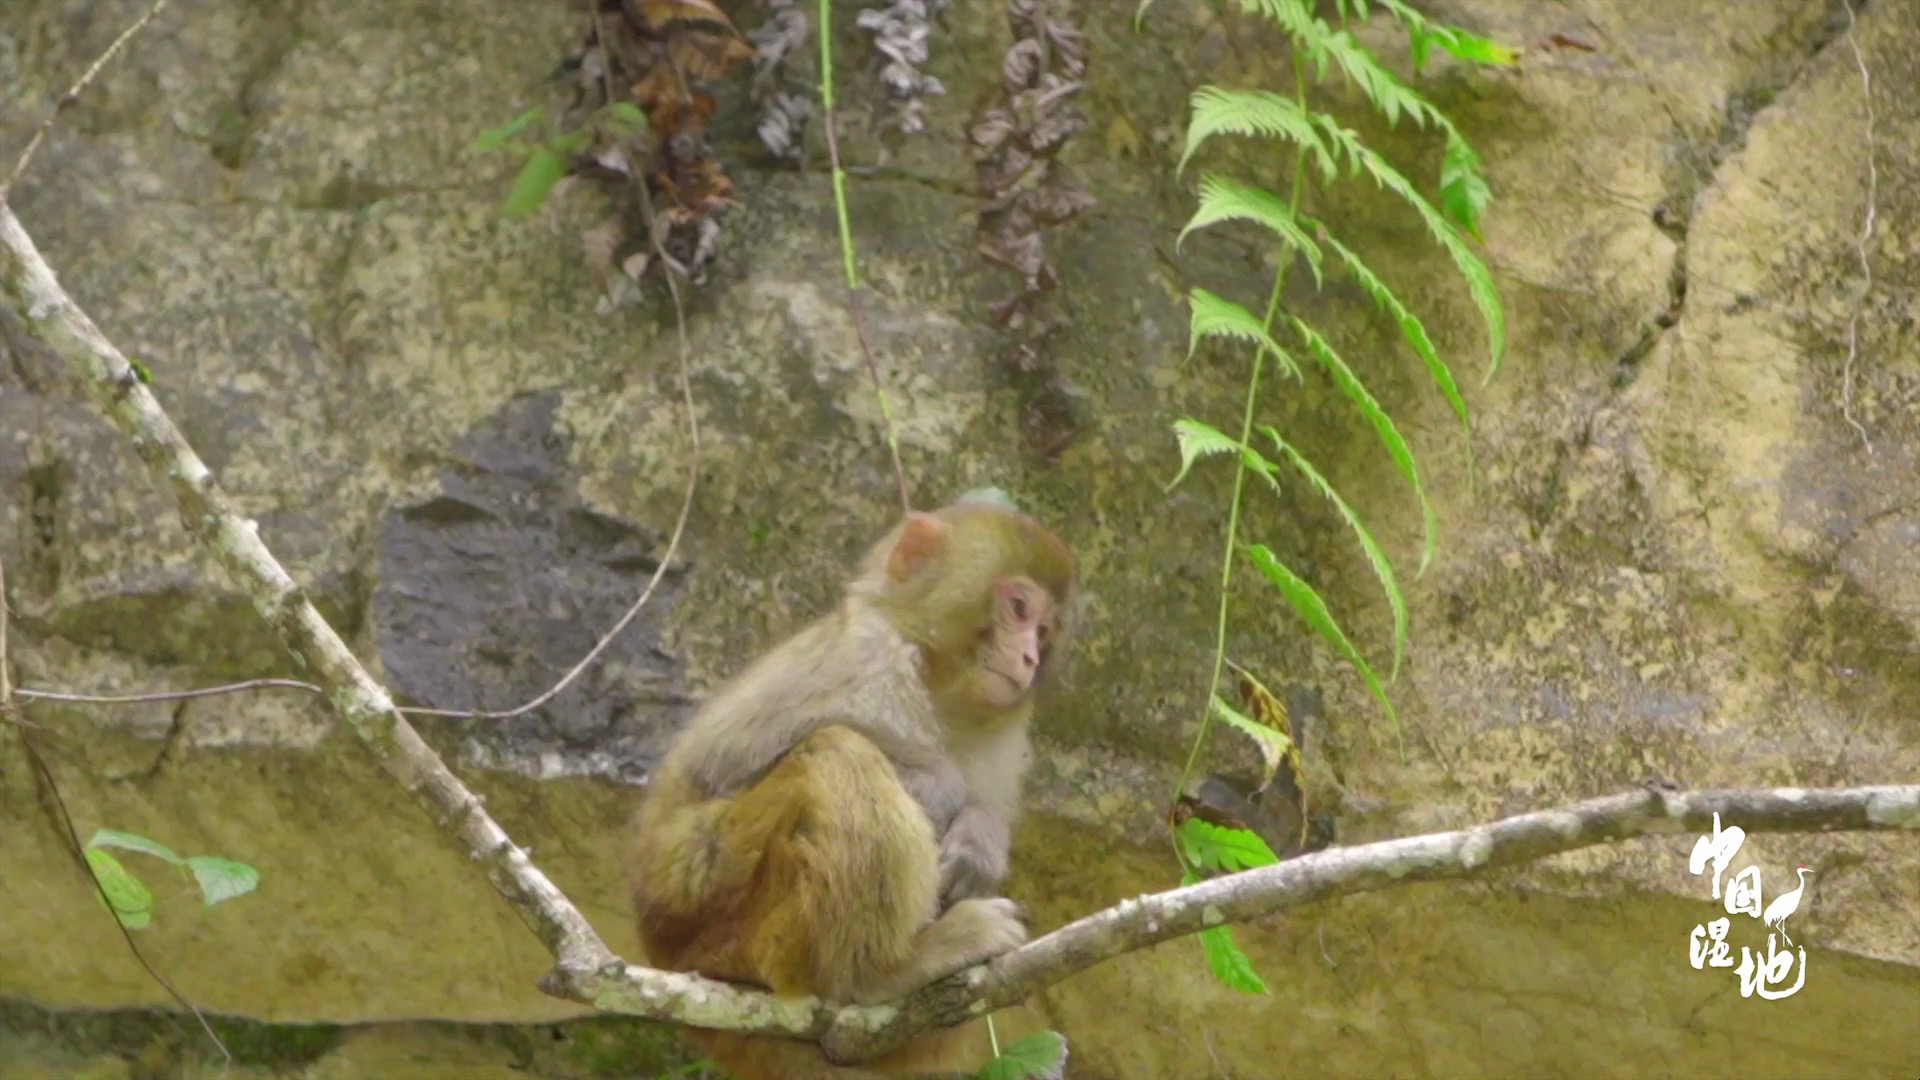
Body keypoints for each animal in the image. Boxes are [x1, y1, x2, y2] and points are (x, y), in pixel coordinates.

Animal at [633, 495, 1075, 1076]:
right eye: (1019, 607)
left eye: (1045, 632)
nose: (1028, 658)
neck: (937, 687)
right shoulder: (864, 657)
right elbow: (729, 765)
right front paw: (942, 784)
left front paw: (981, 838)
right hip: (725, 910)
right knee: (839, 753)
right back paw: (879, 973)